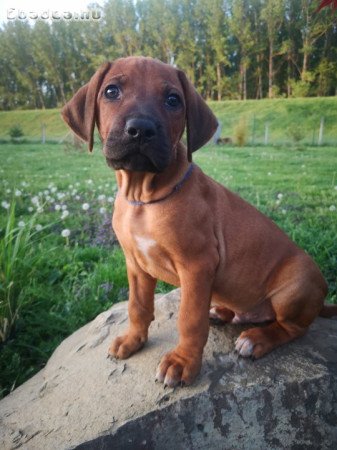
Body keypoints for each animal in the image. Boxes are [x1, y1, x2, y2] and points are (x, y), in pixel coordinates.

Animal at [61, 55, 334, 386]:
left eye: (173, 99)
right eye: (111, 91)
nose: (140, 129)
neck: (144, 198)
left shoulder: (197, 266)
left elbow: (189, 319)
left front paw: (183, 362)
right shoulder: (136, 265)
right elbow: (138, 306)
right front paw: (133, 340)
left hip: (295, 286)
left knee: (294, 328)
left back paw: (256, 339)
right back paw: (221, 312)